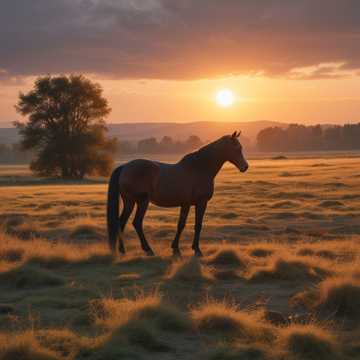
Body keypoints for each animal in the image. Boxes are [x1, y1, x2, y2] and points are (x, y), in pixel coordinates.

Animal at [105, 131, 249, 258]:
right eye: (237, 148)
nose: (245, 167)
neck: (199, 169)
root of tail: (125, 167)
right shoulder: (199, 203)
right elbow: (193, 225)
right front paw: (193, 250)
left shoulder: (188, 204)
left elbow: (184, 225)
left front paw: (178, 248)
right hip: (142, 202)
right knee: (137, 223)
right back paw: (148, 250)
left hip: (129, 202)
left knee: (121, 222)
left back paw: (122, 250)